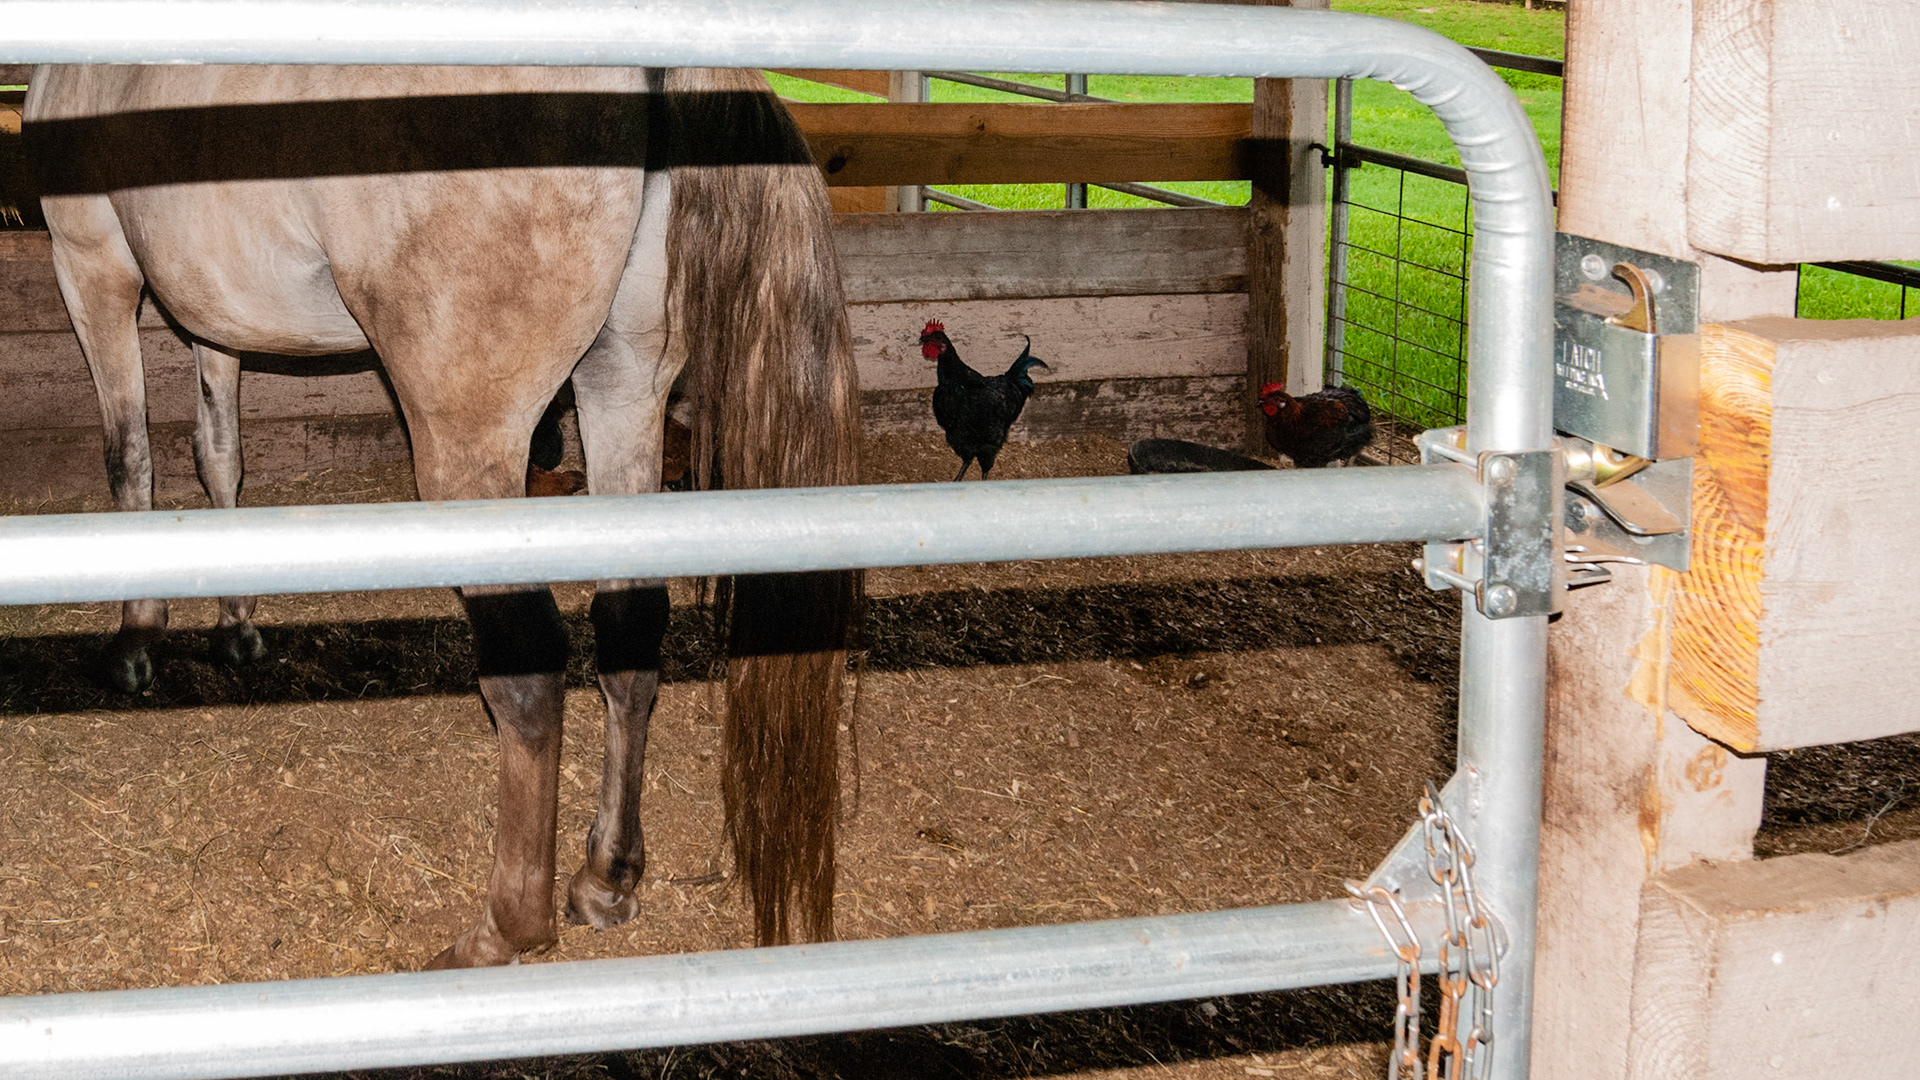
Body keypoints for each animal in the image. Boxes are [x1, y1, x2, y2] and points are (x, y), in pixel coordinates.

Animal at [24, 63, 859, 967]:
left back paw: (502, 930)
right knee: (629, 631)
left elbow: (129, 457)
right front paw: (234, 625)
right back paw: (606, 877)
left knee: (531, 674)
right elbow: (218, 455)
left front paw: (137, 637)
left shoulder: (92, 262)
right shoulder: (211, 308)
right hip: (623, 389)